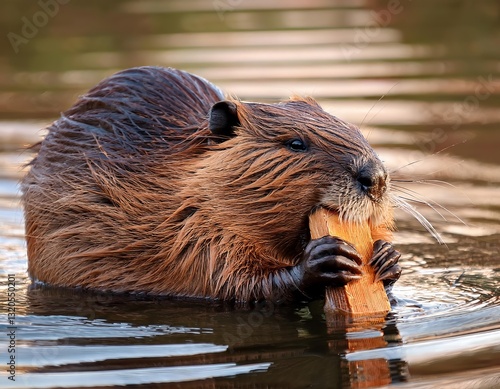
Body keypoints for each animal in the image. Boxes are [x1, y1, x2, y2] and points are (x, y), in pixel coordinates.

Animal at [20, 66, 402, 302]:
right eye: (296, 143)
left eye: (354, 129)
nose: (376, 178)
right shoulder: (193, 234)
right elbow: (236, 283)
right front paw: (323, 259)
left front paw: (388, 257)